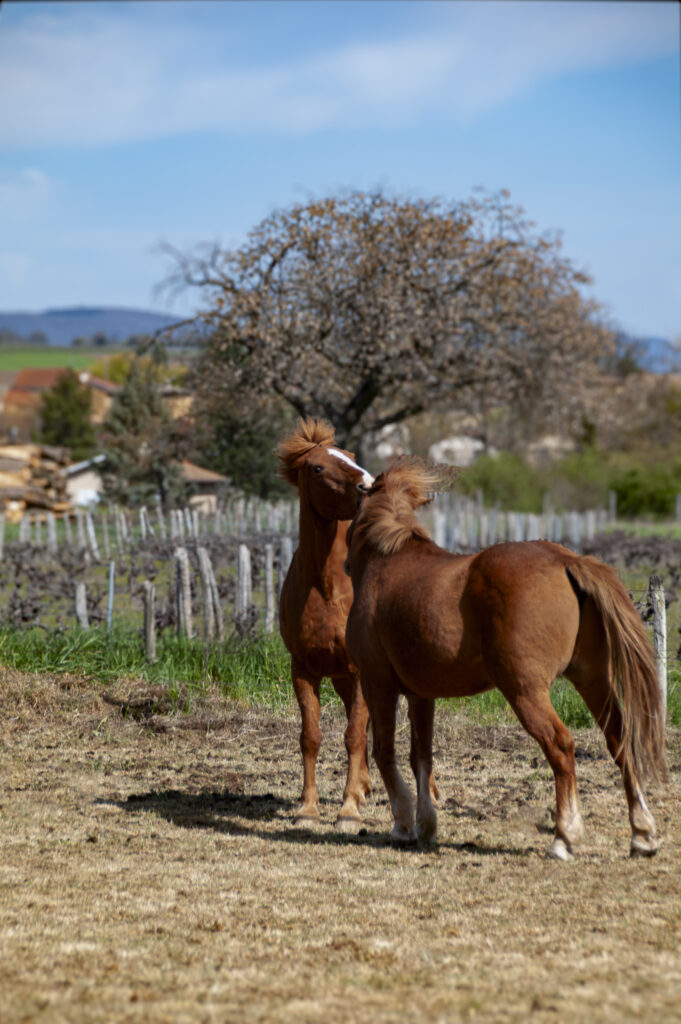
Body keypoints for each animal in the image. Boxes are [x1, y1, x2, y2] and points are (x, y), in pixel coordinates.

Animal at [344, 461, 666, 860]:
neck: (386, 563)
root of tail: (566, 561)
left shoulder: (377, 683)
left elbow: (385, 752)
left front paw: (404, 825)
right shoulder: (421, 694)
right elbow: (421, 756)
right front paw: (426, 824)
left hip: (525, 691)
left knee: (561, 746)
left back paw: (565, 837)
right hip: (592, 679)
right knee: (620, 741)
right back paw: (642, 833)